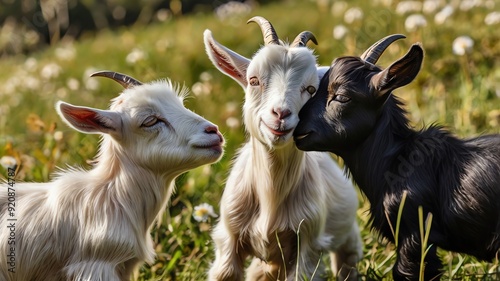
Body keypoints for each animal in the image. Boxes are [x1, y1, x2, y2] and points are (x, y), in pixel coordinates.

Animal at [203, 16, 364, 278]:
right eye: (253, 80)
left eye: (311, 89)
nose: (280, 114)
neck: (271, 193)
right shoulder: (229, 237)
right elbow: (225, 272)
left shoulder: (309, 241)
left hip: (346, 233)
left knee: (347, 258)